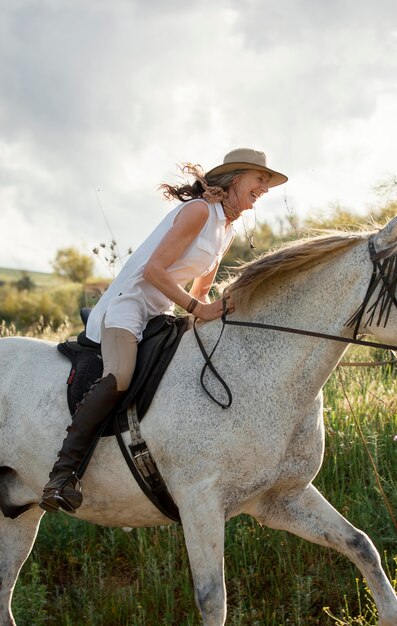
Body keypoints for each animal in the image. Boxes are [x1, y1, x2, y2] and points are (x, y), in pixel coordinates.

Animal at [0, 216, 396, 624]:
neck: (253, 368)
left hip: (18, 515)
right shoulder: (200, 503)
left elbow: (360, 544)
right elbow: (212, 599)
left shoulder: (282, 499)